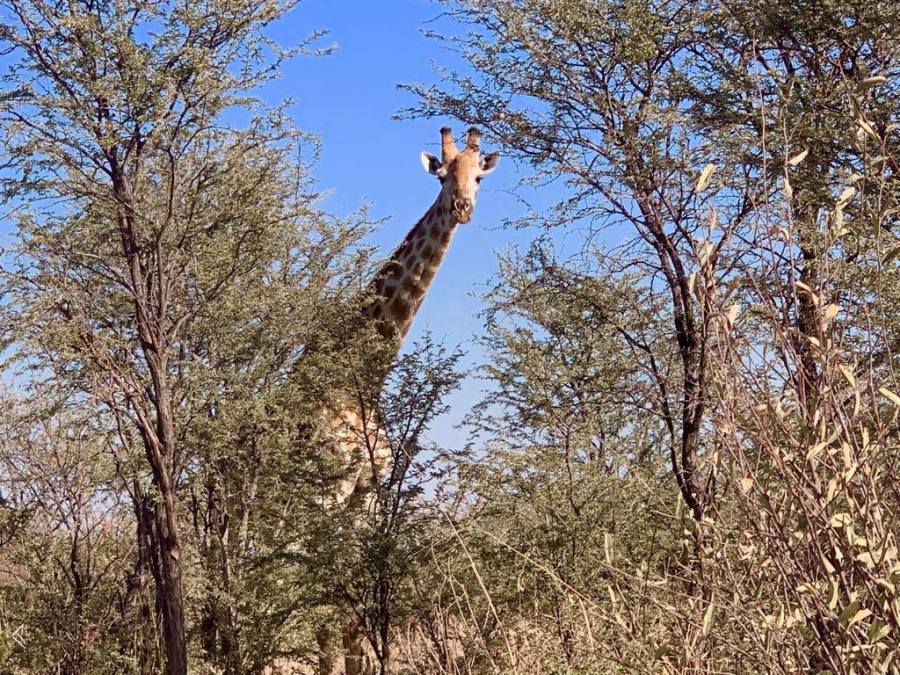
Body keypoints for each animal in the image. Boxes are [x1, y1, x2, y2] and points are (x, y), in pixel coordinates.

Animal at [316, 128, 500, 675]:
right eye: (442, 176)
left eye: (479, 177)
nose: (462, 207)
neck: (363, 376)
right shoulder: (336, 488)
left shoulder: (367, 492)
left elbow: (351, 602)